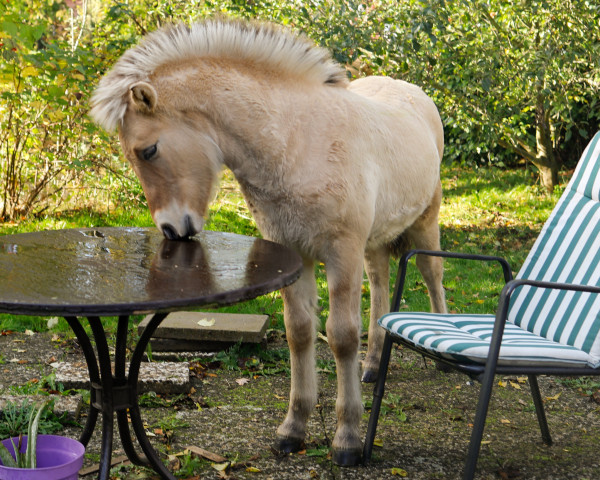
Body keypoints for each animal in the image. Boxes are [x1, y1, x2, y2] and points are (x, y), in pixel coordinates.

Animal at [89, 17, 446, 464]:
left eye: (148, 150)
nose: (171, 230)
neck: (298, 141)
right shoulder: (294, 254)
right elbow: (300, 332)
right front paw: (293, 429)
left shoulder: (341, 252)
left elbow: (342, 336)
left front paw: (347, 437)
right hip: (375, 243)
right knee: (381, 287)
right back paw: (373, 365)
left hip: (425, 223)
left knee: (432, 274)